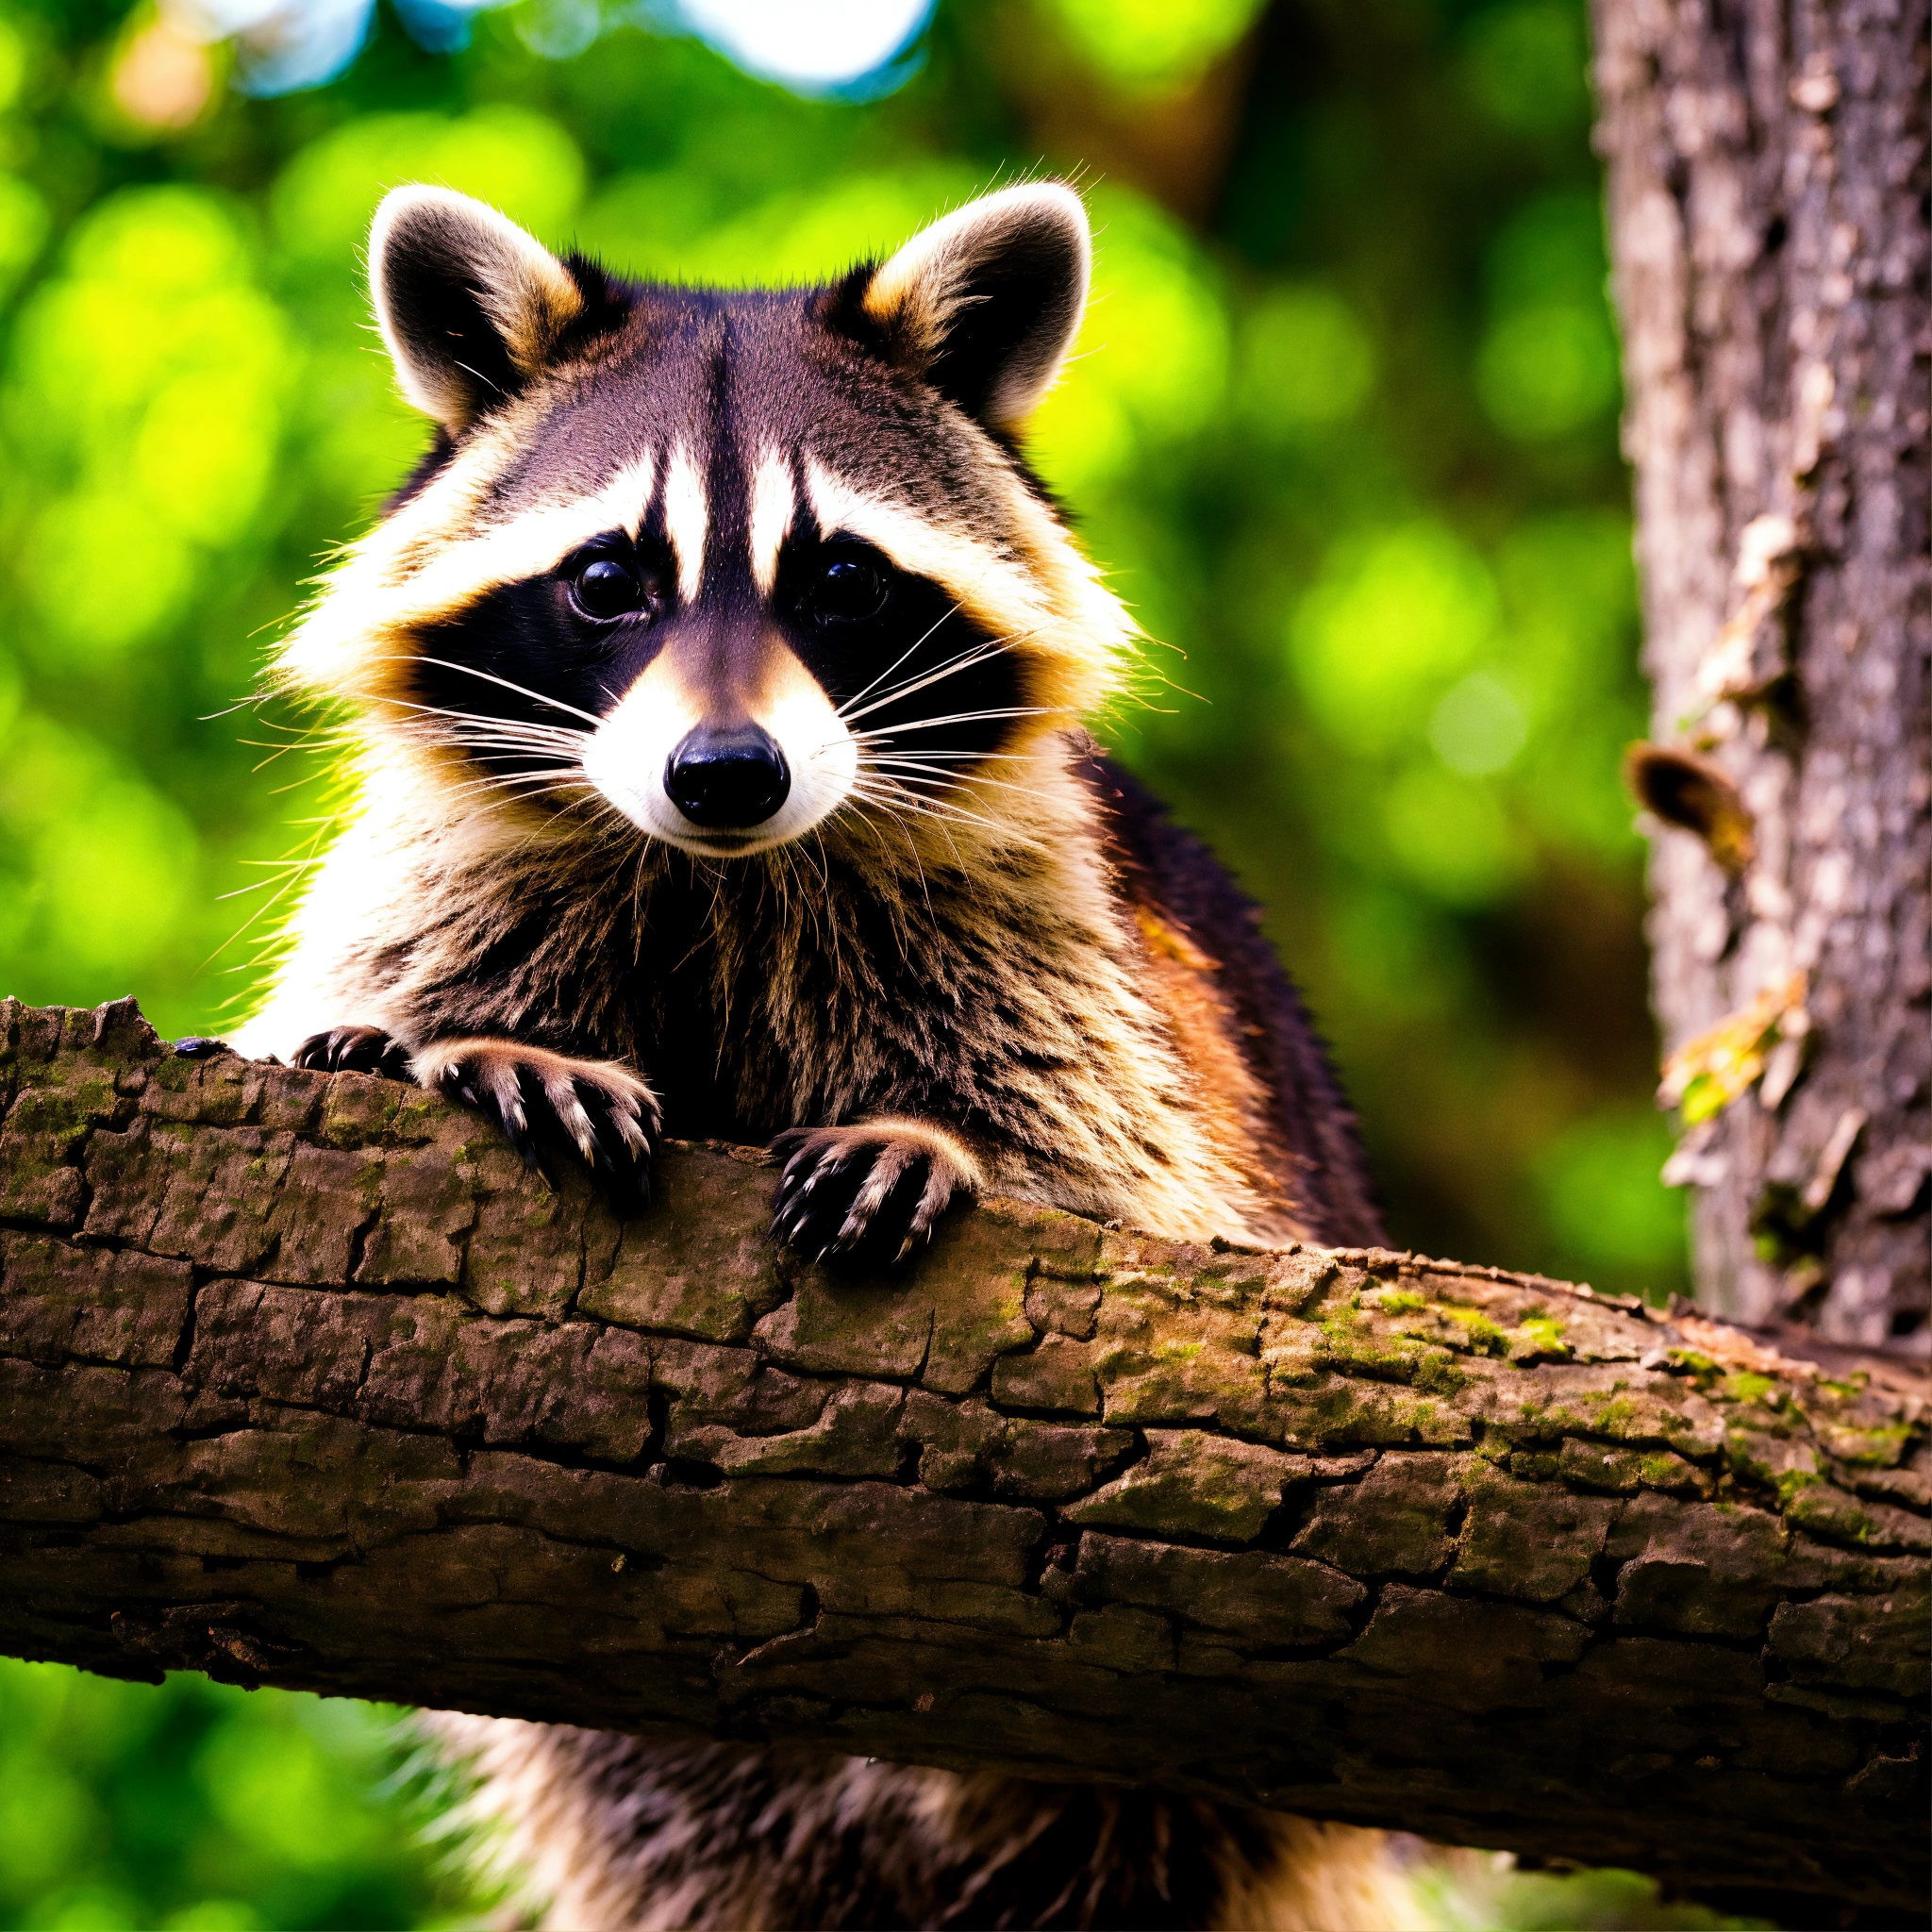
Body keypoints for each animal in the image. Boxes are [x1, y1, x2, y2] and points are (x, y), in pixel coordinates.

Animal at [232, 180, 1407, 1930]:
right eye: (607, 578)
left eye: (843, 578)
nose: (725, 772)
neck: (723, 875)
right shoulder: (449, 871)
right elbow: (348, 1004)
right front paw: (448, 1044)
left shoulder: (1072, 941)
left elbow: (1138, 1183)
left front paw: (945, 1141)